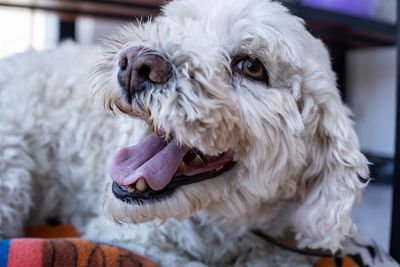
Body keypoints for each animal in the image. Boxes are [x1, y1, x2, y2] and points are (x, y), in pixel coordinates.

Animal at [0, 0, 368, 264]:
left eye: (252, 66)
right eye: (176, 26)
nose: (136, 63)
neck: (223, 227)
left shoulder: (277, 249)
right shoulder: (131, 240)